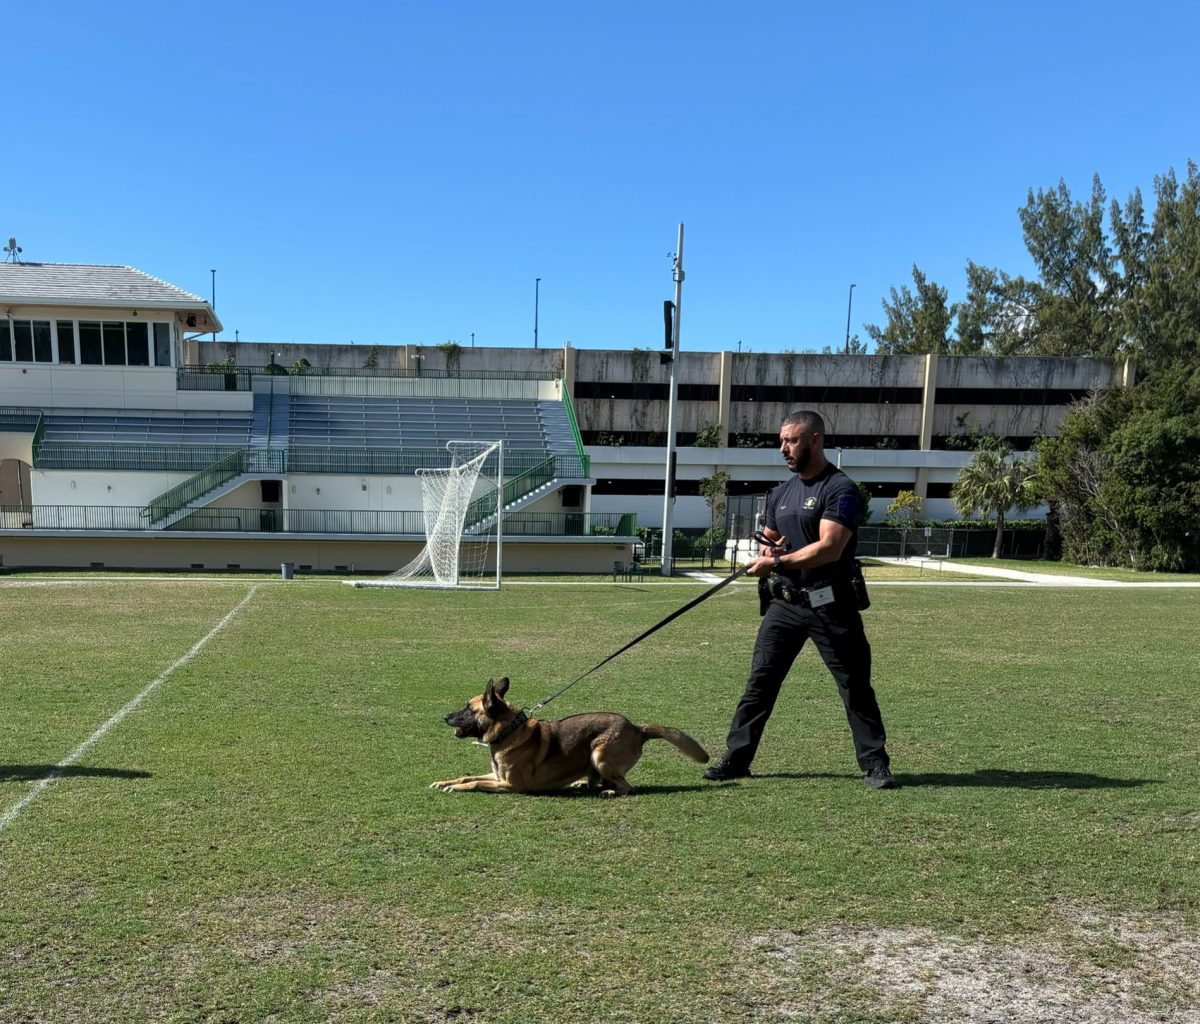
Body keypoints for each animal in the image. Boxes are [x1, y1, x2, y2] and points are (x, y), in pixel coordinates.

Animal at [434, 677, 705, 797]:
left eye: (469, 709)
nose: (444, 717)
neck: (509, 730)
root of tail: (638, 728)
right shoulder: (498, 777)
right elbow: (468, 776)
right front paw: (445, 782)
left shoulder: (511, 785)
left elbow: (475, 783)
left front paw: (456, 787)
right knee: (599, 781)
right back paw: (582, 783)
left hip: (600, 754)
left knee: (627, 787)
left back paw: (610, 791)